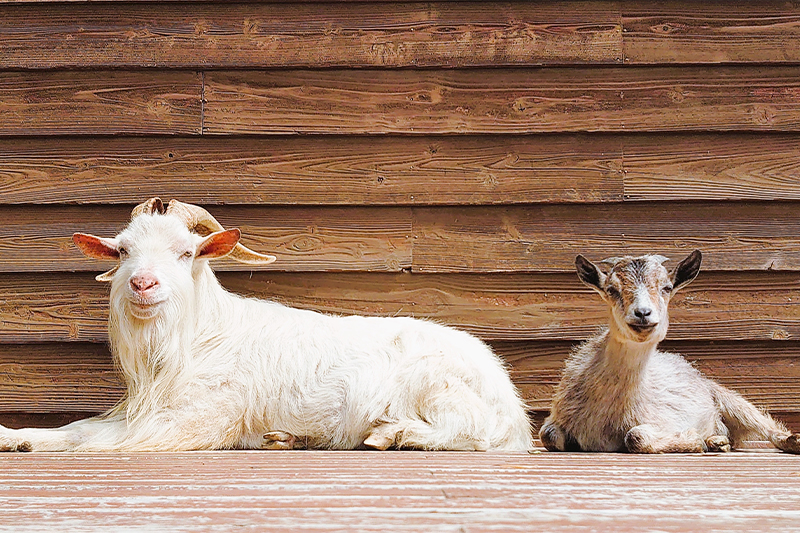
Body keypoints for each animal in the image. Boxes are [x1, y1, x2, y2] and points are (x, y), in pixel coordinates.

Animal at [3, 197, 536, 450]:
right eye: (123, 251)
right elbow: (79, 426)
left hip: (439, 386)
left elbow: (93, 438)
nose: (142, 284)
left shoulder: (195, 418)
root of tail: (509, 399)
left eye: (186, 252)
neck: (200, 338)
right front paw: (14, 437)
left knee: (472, 430)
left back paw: (390, 434)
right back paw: (290, 438)